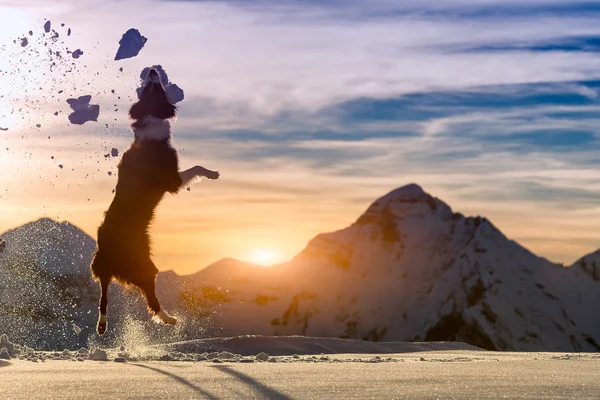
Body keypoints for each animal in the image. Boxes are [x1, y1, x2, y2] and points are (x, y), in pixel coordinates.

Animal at [91, 69, 218, 334]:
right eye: (154, 87)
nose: (151, 71)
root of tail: (109, 253)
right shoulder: (171, 180)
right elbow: (196, 168)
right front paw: (213, 173)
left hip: (102, 268)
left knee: (103, 296)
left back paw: (102, 324)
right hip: (144, 265)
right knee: (150, 298)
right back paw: (169, 319)